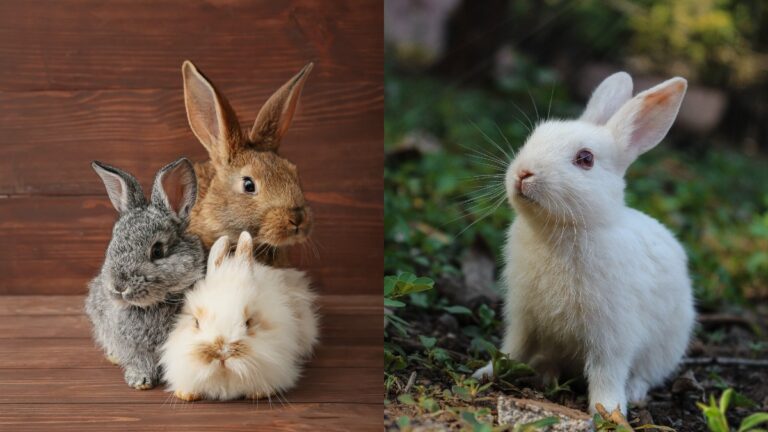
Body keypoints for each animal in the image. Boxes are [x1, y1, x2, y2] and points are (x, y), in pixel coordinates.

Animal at [85, 158, 205, 390]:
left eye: (157, 251)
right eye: (113, 243)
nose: (119, 286)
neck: (151, 305)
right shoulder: (131, 345)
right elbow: (138, 360)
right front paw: (139, 381)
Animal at [472, 72, 695, 414]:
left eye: (585, 159)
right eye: (535, 136)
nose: (523, 173)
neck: (563, 230)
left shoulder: (612, 334)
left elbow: (606, 372)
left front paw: (609, 411)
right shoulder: (523, 317)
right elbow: (513, 348)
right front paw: (485, 372)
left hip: (666, 346)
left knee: (645, 374)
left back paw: (634, 392)